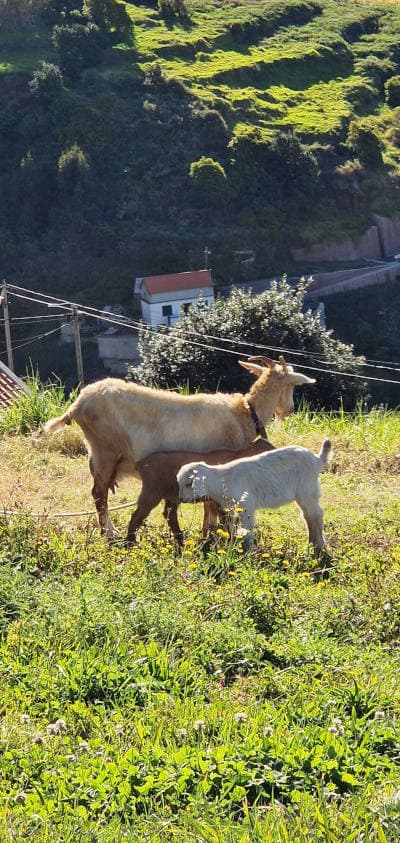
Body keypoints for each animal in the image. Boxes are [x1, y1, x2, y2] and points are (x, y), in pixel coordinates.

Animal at [129, 437, 275, 548]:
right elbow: (225, 520)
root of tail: (140, 464)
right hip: (151, 492)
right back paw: (129, 543)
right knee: (136, 517)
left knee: (169, 515)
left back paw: (180, 542)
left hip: (171, 496)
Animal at [177, 439, 332, 552]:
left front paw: (248, 551)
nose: (182, 499)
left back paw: (319, 545)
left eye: (188, 484)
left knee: (316, 514)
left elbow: (246, 530)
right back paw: (311, 543)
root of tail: (317, 459)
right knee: (307, 515)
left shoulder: (246, 505)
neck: (221, 479)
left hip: (307, 489)